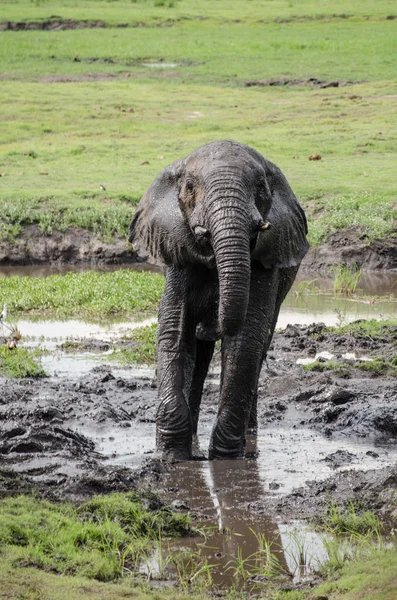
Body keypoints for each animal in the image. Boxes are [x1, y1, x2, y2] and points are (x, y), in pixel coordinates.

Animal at [128, 141, 308, 460]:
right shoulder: (178, 252)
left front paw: (225, 459)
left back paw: (248, 437)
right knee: (200, 353)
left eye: (261, 189)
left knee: (258, 348)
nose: (214, 320)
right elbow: (174, 332)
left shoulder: (264, 261)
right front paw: (172, 457)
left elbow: (245, 342)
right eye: (189, 187)